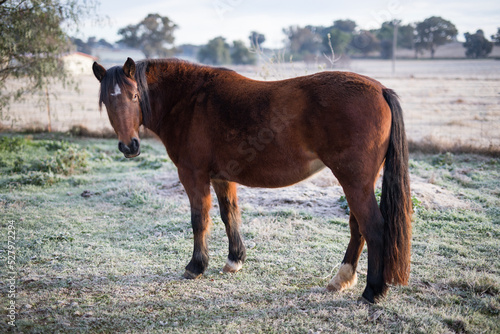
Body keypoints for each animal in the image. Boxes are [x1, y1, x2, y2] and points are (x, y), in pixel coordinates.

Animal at [92, 58, 412, 306]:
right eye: (107, 101)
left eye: (134, 96)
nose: (129, 146)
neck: (190, 101)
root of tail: (380, 89)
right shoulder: (221, 177)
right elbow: (229, 215)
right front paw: (235, 260)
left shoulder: (193, 174)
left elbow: (199, 220)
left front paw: (196, 266)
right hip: (357, 183)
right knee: (358, 227)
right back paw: (342, 279)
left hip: (354, 181)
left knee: (373, 228)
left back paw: (372, 291)